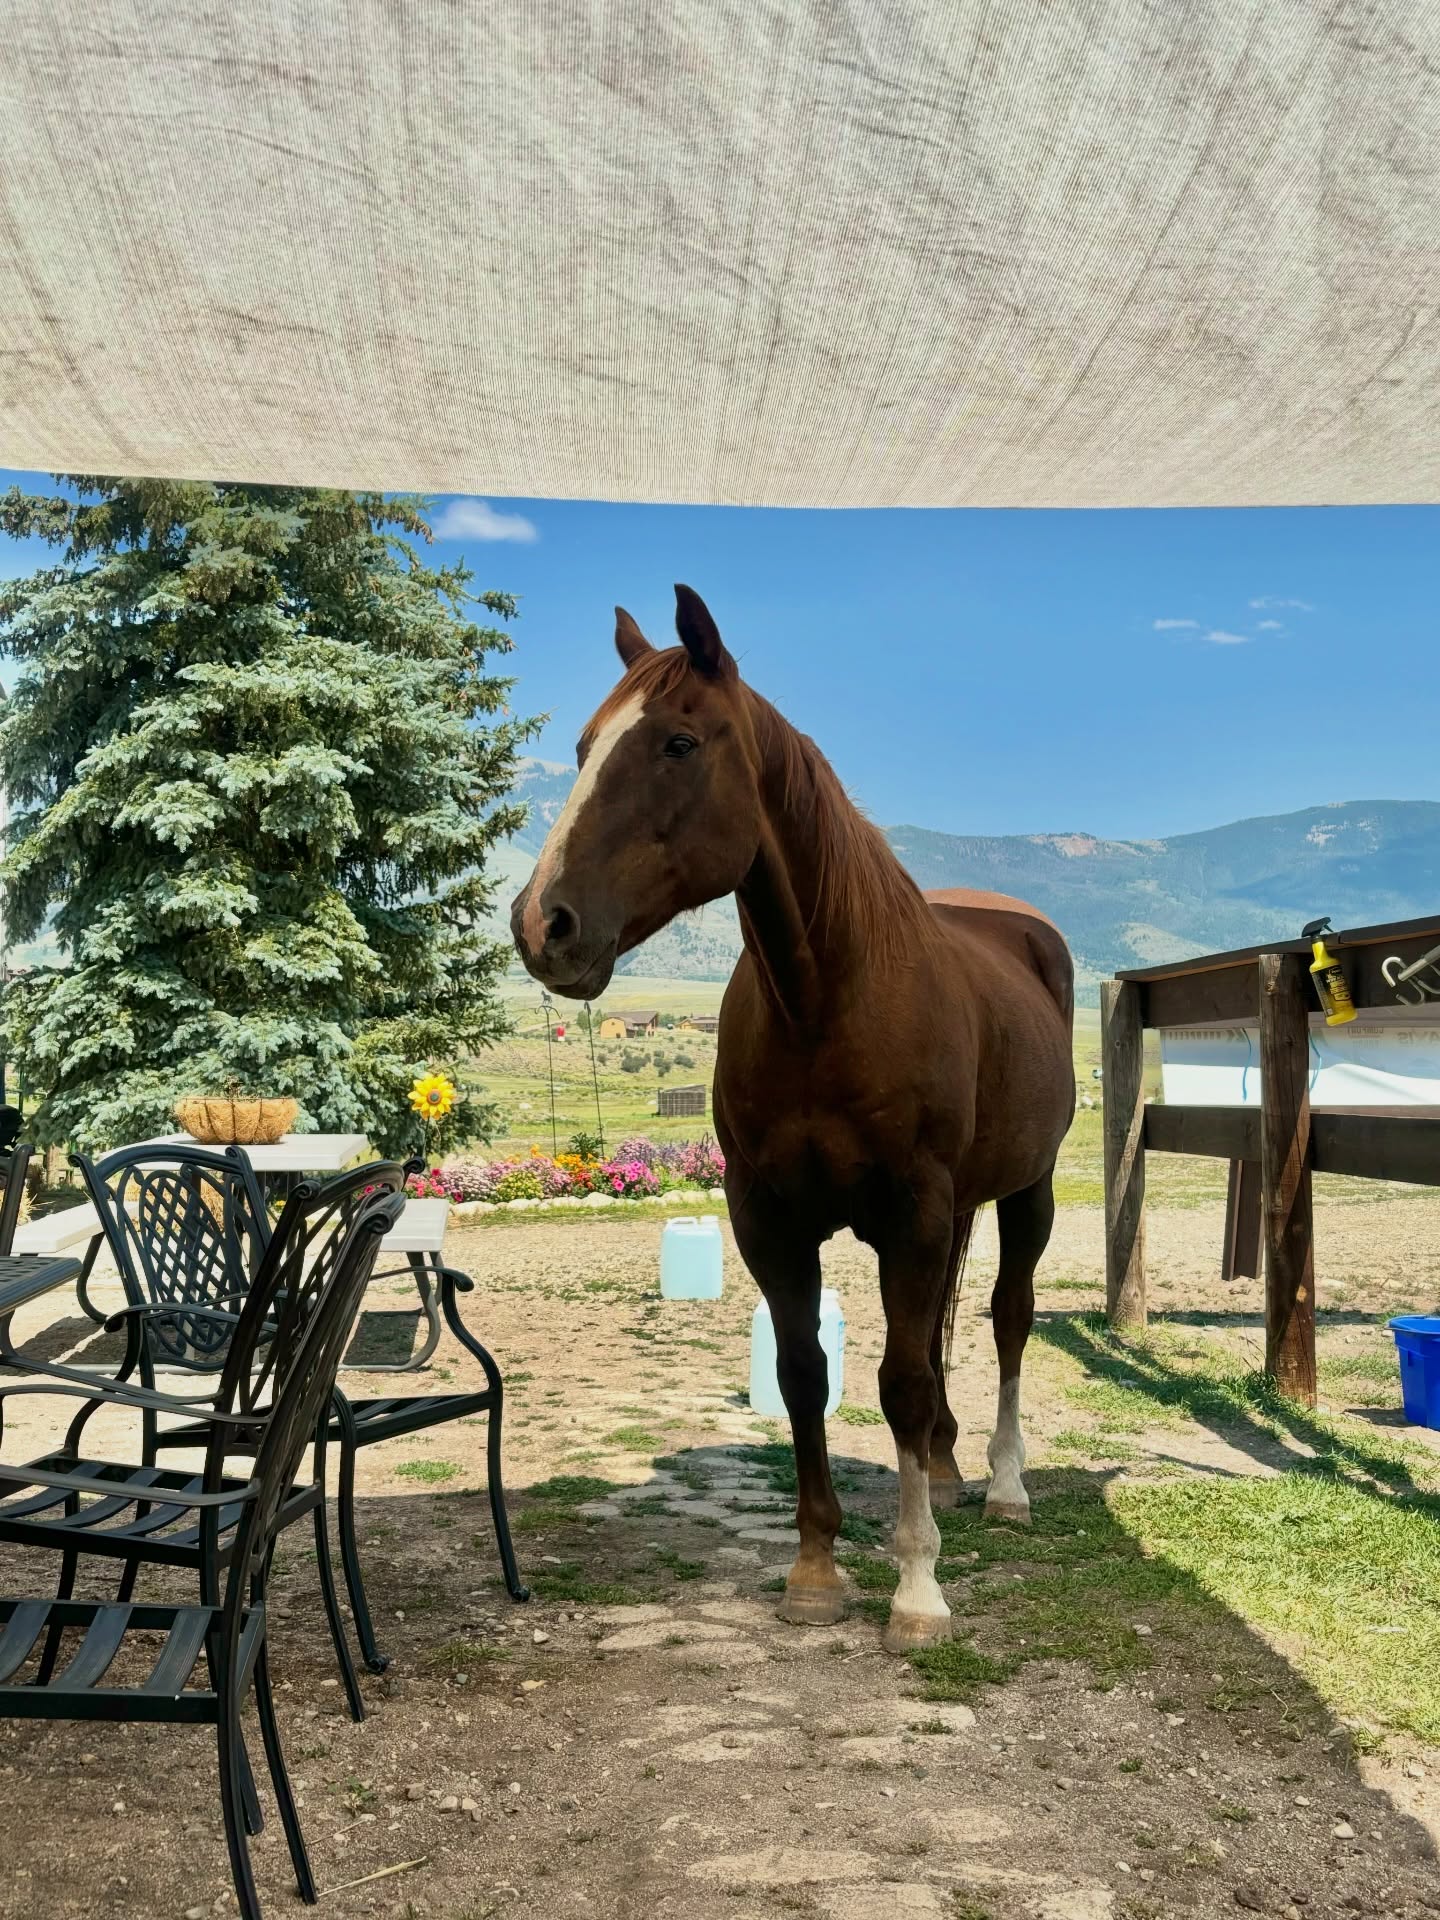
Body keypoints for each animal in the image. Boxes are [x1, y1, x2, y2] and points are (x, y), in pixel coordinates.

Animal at [511, 586, 1074, 1654]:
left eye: (679, 743)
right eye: (583, 747)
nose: (542, 924)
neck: (827, 1002)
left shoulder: (912, 1212)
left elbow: (899, 1381)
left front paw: (917, 1588)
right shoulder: (768, 1216)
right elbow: (806, 1374)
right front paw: (815, 1568)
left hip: (1028, 1192)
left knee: (1007, 1318)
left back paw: (1006, 1485)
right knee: (942, 1330)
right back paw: (945, 1467)